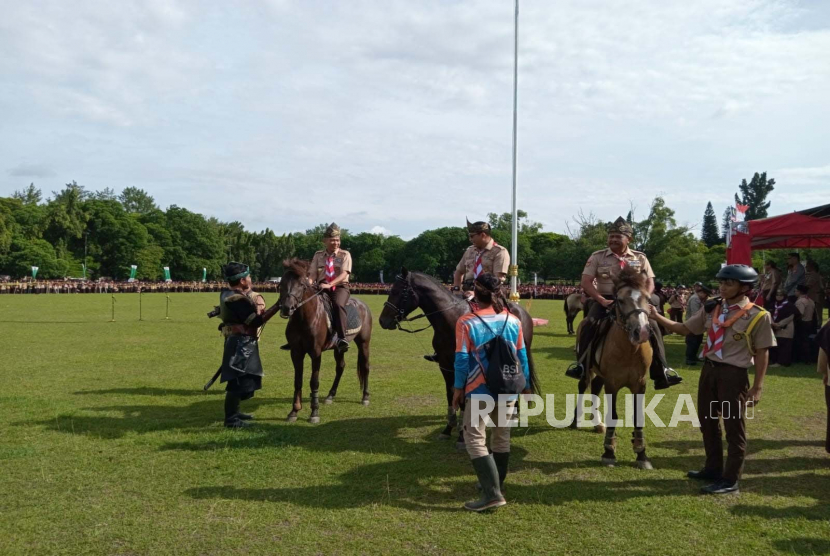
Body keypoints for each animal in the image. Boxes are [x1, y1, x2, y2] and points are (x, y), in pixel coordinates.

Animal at [278, 258, 372, 424]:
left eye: (301, 285)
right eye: (281, 283)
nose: (287, 308)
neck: (303, 318)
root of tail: (363, 305)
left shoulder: (315, 353)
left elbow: (314, 381)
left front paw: (314, 412)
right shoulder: (296, 352)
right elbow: (298, 380)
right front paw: (294, 411)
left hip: (364, 343)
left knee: (365, 367)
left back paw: (365, 397)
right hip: (339, 349)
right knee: (340, 367)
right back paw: (330, 395)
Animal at [378, 268, 544, 448]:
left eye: (397, 291)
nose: (382, 320)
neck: (450, 320)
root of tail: (522, 312)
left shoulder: (465, 366)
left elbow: (463, 399)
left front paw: (462, 436)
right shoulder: (445, 365)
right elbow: (451, 395)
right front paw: (448, 429)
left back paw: (513, 412)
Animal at [576, 264, 652, 470]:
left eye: (647, 298)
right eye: (620, 300)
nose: (641, 332)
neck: (630, 351)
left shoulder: (640, 383)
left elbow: (638, 417)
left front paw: (641, 454)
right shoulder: (613, 383)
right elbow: (614, 414)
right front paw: (609, 452)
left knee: (595, 388)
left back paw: (597, 423)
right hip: (586, 368)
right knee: (583, 386)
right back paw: (576, 419)